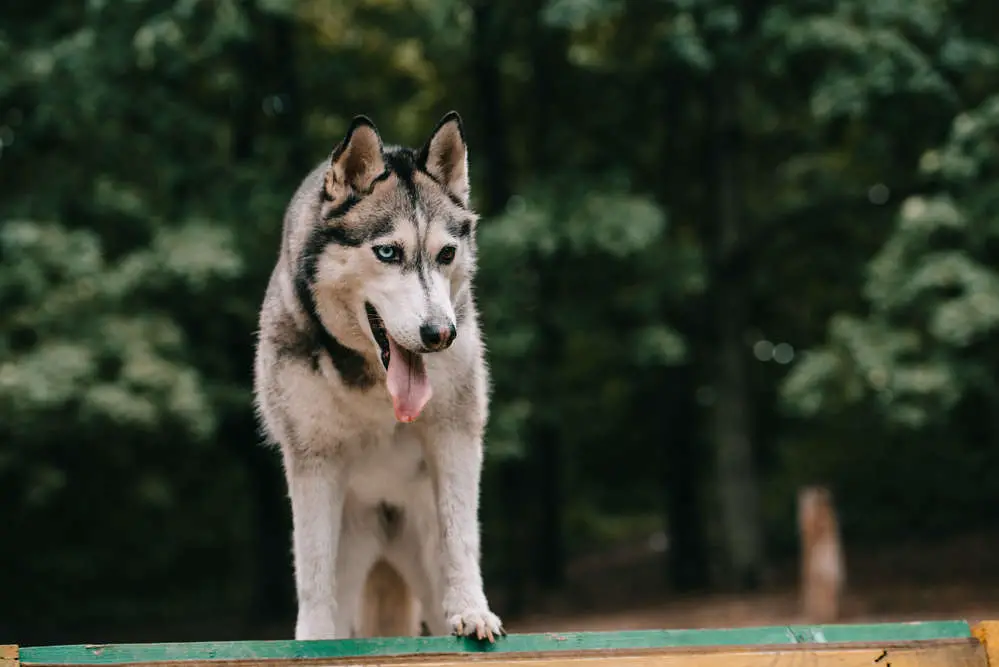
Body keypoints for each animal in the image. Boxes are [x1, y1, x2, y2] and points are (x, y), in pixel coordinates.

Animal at [254, 113, 504, 640]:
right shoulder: (314, 458)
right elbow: (312, 565)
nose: (440, 333)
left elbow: (460, 533)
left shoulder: (455, 432)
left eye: (446, 254)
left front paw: (472, 609)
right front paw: (313, 638)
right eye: (388, 252)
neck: (374, 381)